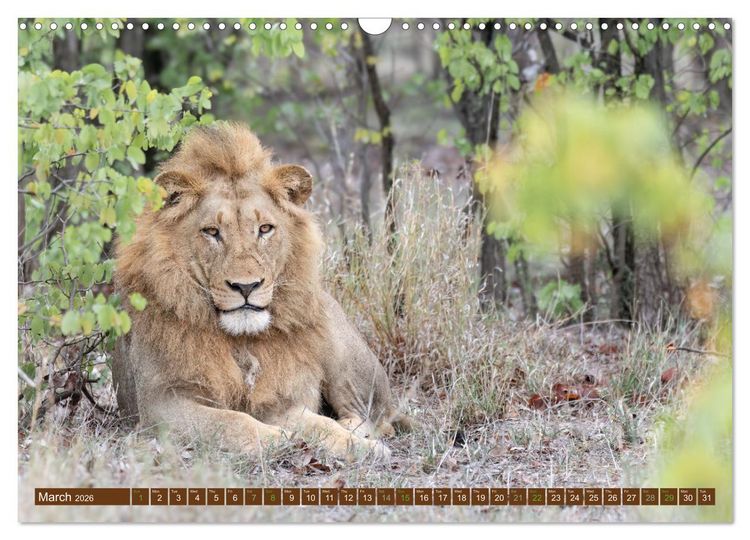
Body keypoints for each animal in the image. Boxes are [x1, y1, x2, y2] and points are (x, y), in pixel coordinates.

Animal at [112, 122, 408, 460]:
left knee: (375, 416)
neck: (241, 341)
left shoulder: (278, 398)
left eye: (265, 229)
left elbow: (319, 424)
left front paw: (361, 448)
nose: (246, 286)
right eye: (212, 232)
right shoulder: (158, 405)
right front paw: (281, 439)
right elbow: (232, 421)